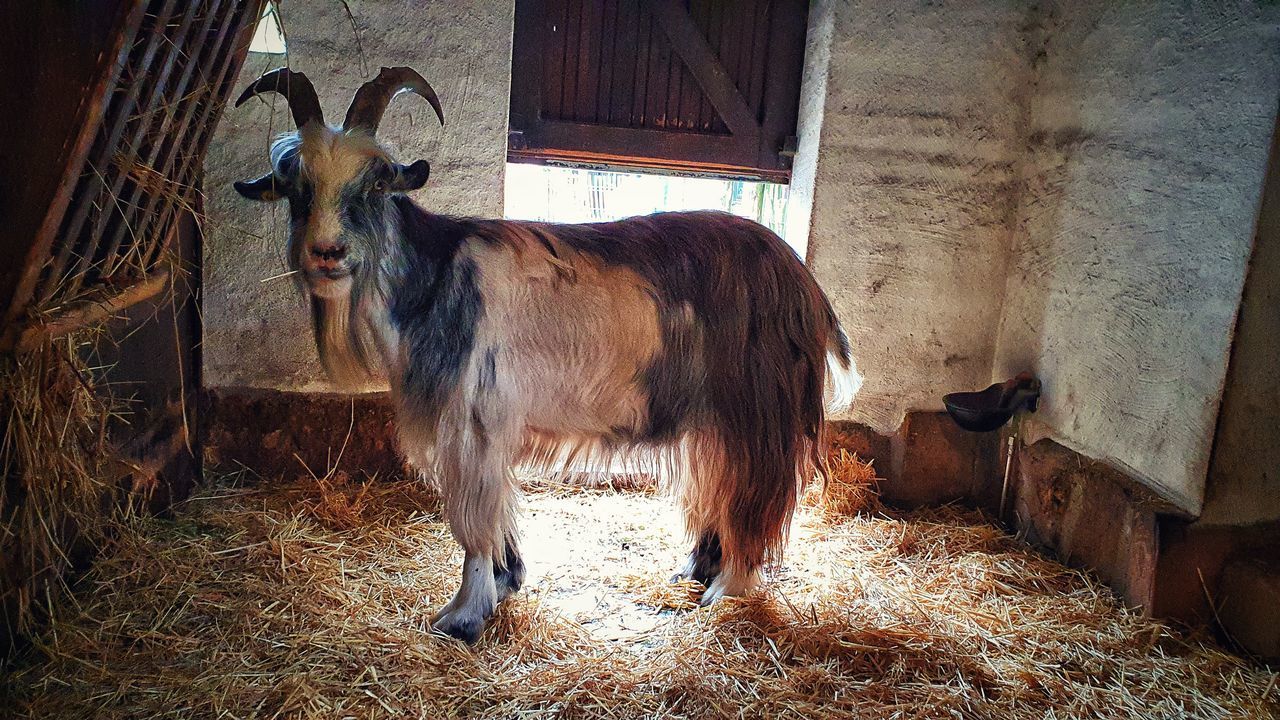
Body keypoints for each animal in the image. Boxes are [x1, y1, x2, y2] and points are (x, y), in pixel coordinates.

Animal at [235, 65, 865, 638]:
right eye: (296, 189)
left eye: (372, 185)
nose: (327, 253)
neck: (434, 278)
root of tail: (807, 289)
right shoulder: (486, 427)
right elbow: (496, 513)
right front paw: (507, 578)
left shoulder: (471, 421)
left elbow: (473, 521)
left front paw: (464, 614)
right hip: (715, 418)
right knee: (718, 485)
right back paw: (697, 570)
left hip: (757, 412)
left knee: (756, 498)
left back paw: (724, 594)